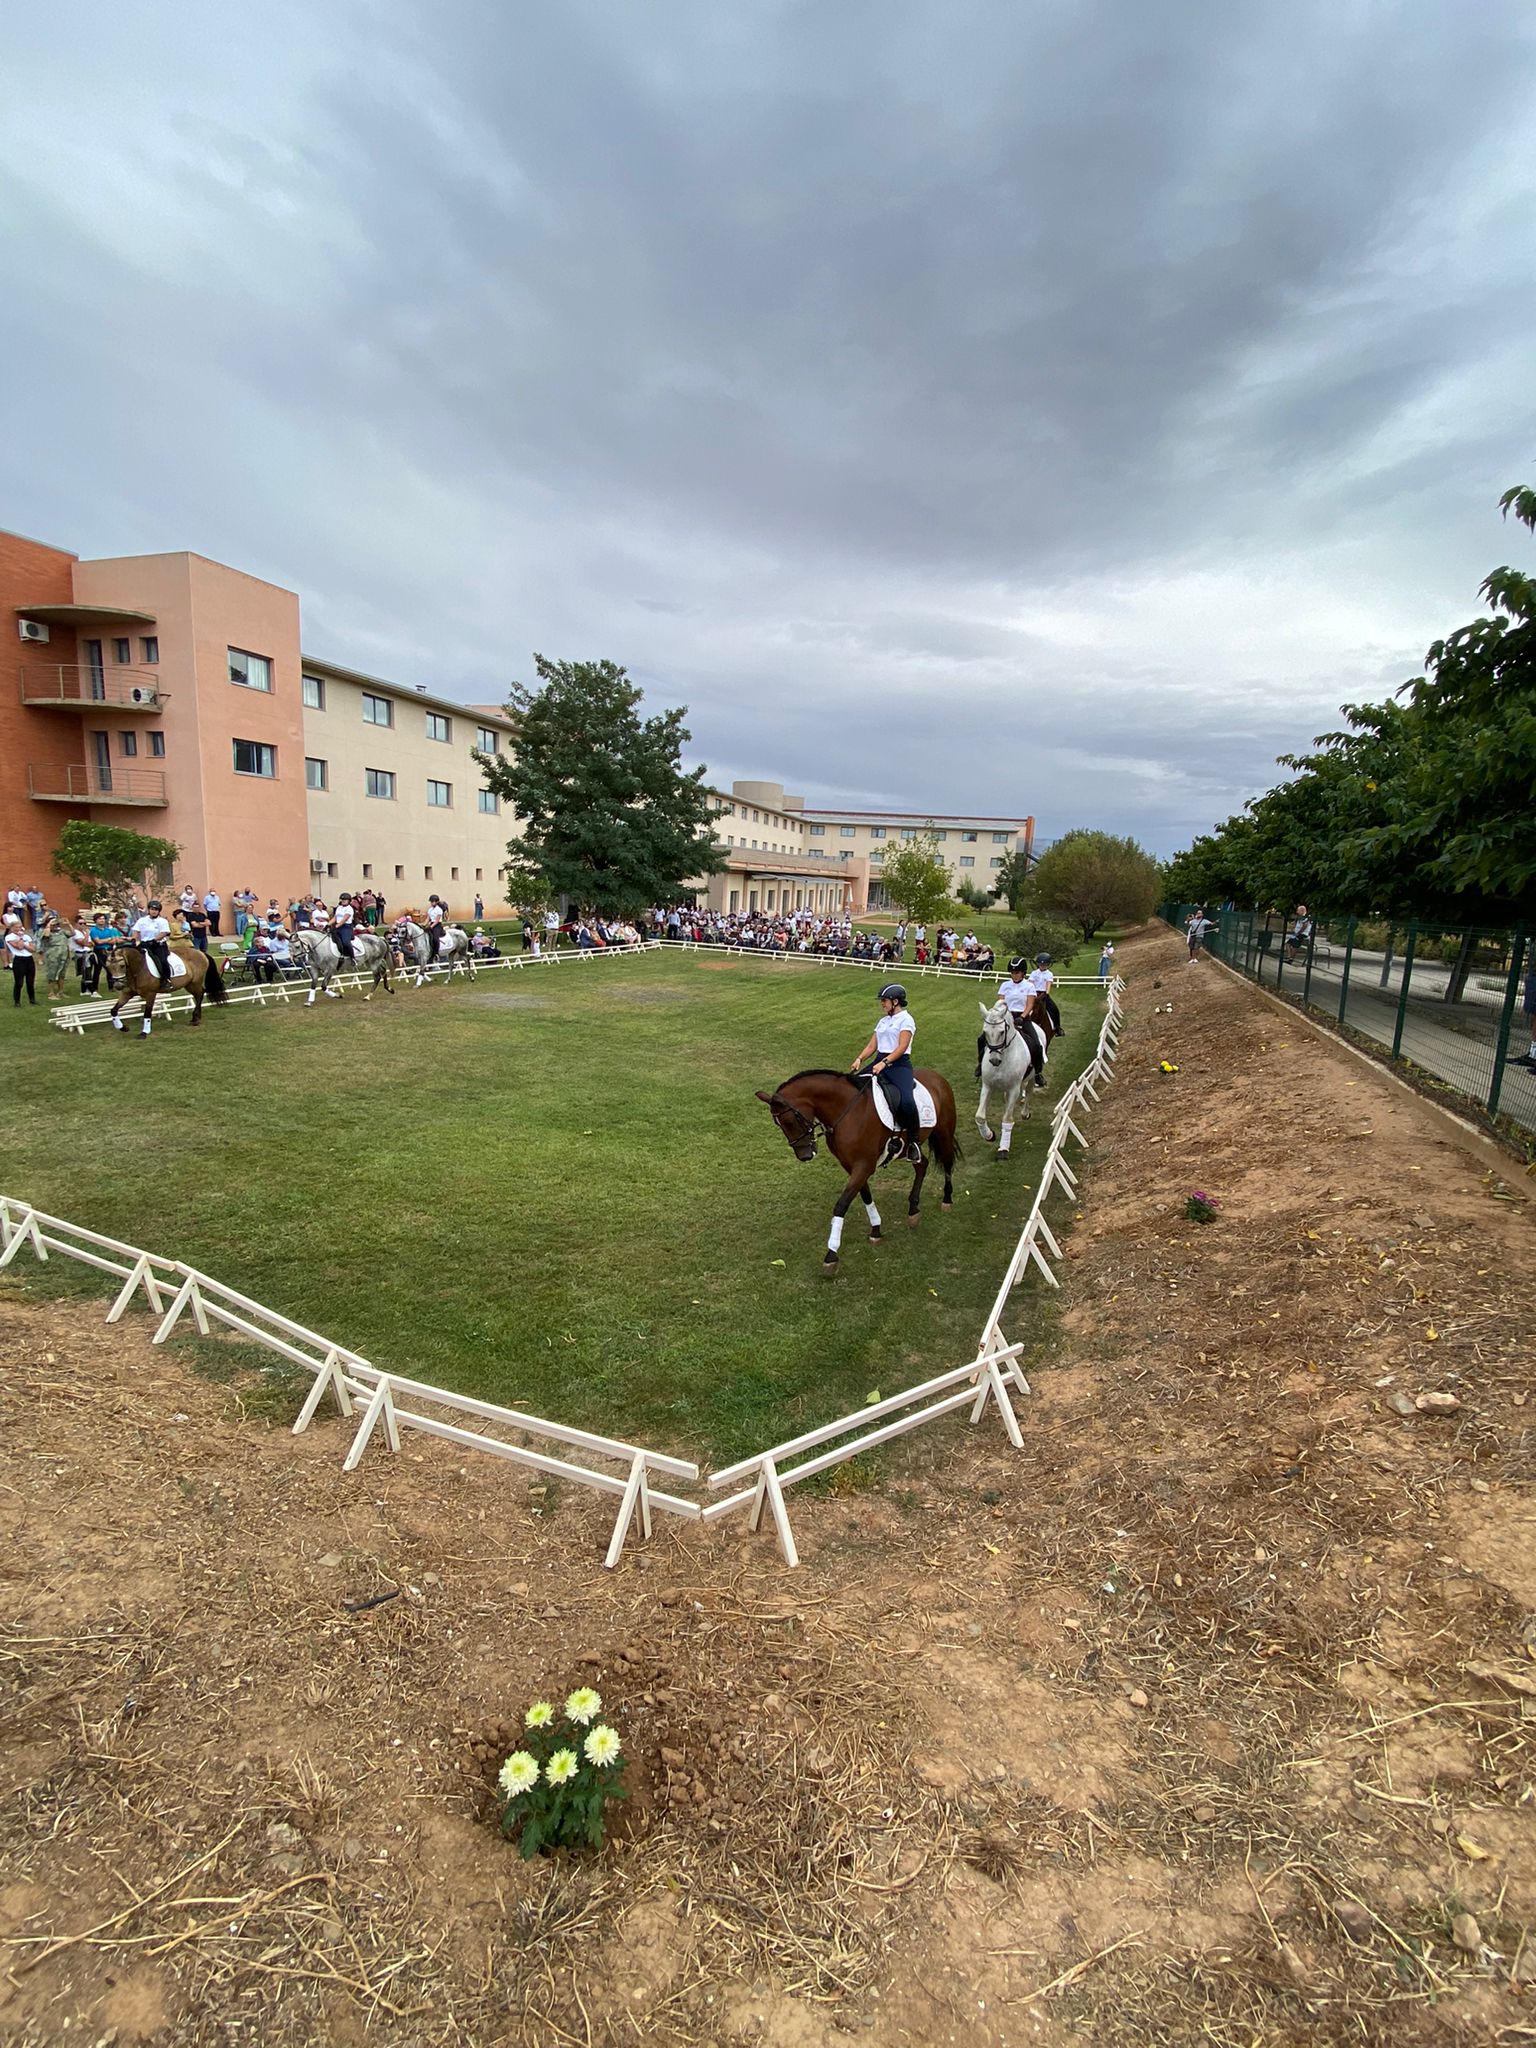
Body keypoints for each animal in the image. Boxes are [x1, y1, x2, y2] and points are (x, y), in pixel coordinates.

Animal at [757, 1064, 962, 1269]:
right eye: (779, 1125)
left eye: (790, 1121)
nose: (805, 1156)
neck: (847, 1111)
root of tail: (937, 1077)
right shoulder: (851, 1165)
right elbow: (865, 1195)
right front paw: (876, 1229)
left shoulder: (864, 1165)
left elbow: (841, 1204)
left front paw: (831, 1254)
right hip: (909, 1149)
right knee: (922, 1165)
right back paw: (913, 1211)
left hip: (943, 1132)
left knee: (947, 1162)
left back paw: (947, 1200)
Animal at [974, 999, 1056, 1163]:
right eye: (985, 1032)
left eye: (1001, 1032)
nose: (994, 1060)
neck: (1004, 1057)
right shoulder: (988, 1086)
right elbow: (980, 1116)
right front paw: (989, 1135)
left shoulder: (1014, 1088)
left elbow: (1007, 1118)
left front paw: (1003, 1149)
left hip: (1031, 1077)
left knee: (1029, 1092)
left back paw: (1025, 1113)